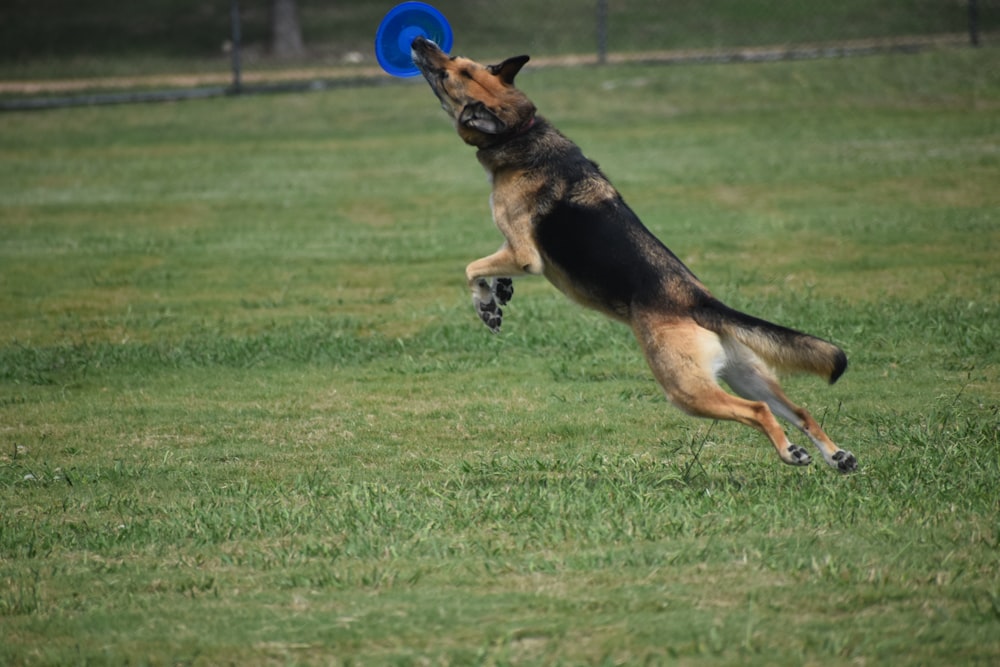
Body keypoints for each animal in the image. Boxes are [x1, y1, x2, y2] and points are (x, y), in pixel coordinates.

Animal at [410, 36, 856, 472]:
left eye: (449, 72)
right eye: (457, 58)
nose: (418, 39)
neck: (519, 131)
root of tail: (700, 302)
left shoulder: (524, 254)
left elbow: (472, 268)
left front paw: (486, 306)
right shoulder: (516, 249)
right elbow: (491, 268)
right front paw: (499, 294)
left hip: (686, 388)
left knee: (760, 410)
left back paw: (791, 452)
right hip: (743, 372)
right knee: (801, 411)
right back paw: (837, 456)